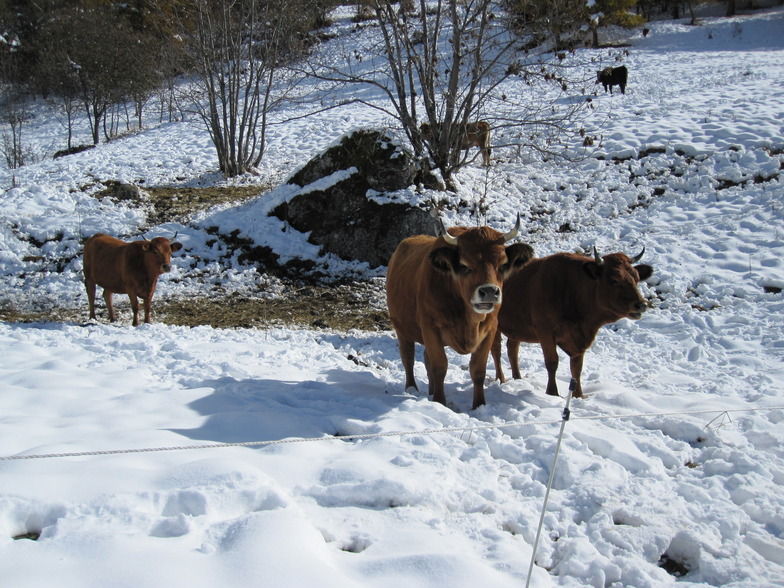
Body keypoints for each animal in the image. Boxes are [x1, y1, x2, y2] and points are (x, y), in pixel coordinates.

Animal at [386, 215, 532, 408]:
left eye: (502, 264)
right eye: (464, 265)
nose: (489, 291)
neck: (469, 319)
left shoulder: (490, 330)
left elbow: (478, 370)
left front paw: (479, 405)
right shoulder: (430, 328)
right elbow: (439, 366)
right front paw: (440, 402)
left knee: (425, 357)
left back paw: (430, 391)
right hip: (402, 328)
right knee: (408, 357)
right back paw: (412, 388)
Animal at [494, 246, 652, 398]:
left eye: (637, 278)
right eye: (614, 280)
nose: (641, 304)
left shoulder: (579, 342)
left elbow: (576, 368)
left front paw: (578, 395)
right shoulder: (545, 332)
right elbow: (552, 362)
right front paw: (552, 393)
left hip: (515, 328)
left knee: (512, 349)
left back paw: (517, 379)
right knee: (497, 351)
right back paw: (500, 379)